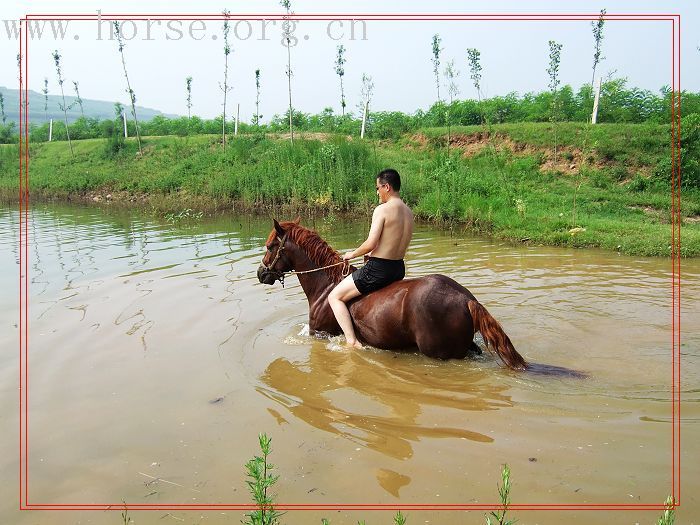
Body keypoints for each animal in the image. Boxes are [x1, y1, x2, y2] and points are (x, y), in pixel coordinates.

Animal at [260, 219, 528, 370]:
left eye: (271, 246)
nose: (261, 273)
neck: (325, 287)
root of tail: (466, 299)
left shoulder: (319, 334)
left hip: (441, 353)